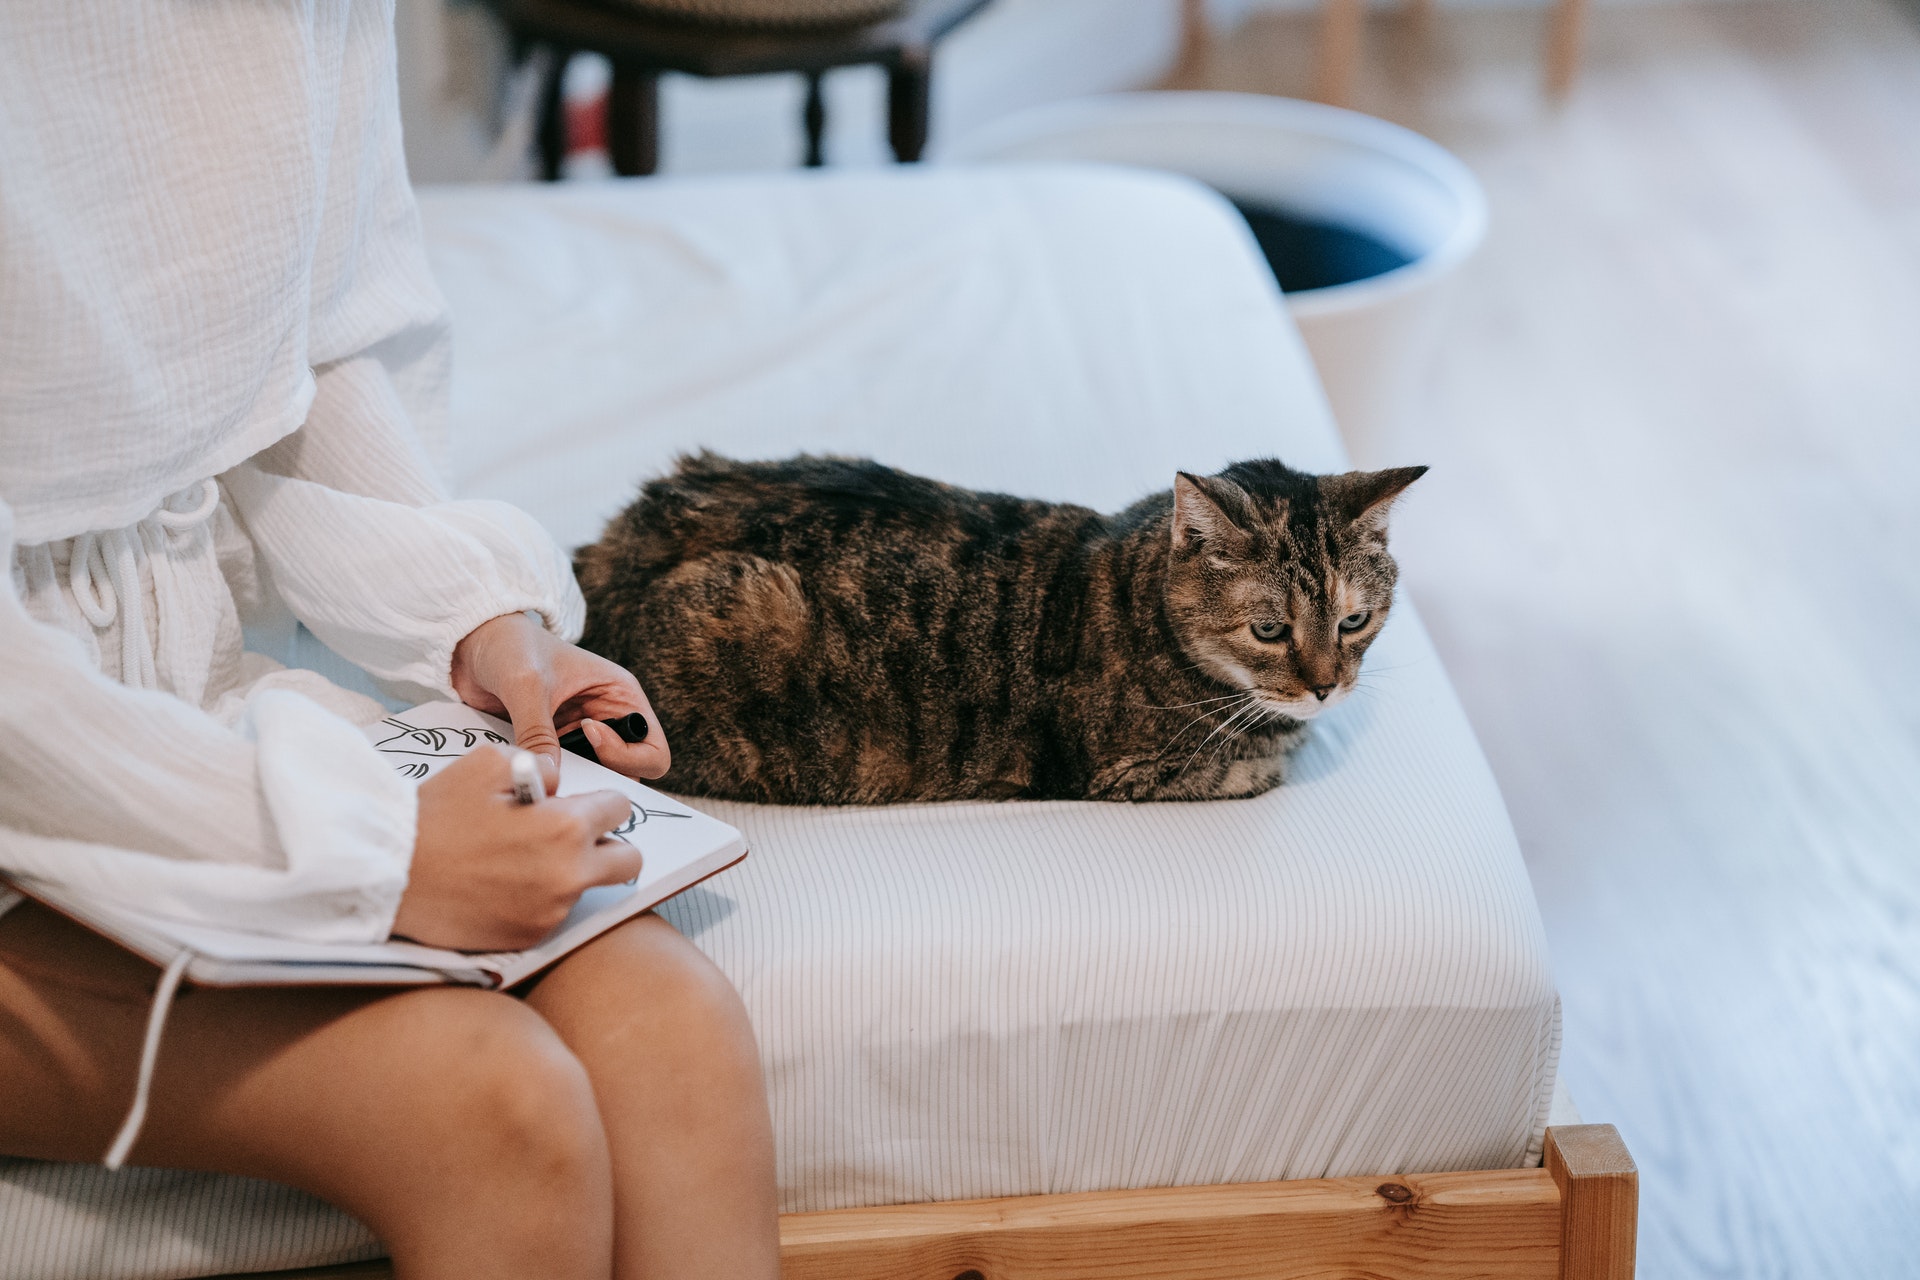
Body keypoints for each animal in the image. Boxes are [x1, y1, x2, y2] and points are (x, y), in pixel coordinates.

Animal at [572, 454, 1428, 805]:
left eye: (1354, 620)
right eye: (1269, 629)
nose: (1326, 688)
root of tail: (609, 550)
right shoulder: (1131, 773)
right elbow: (1258, 767)